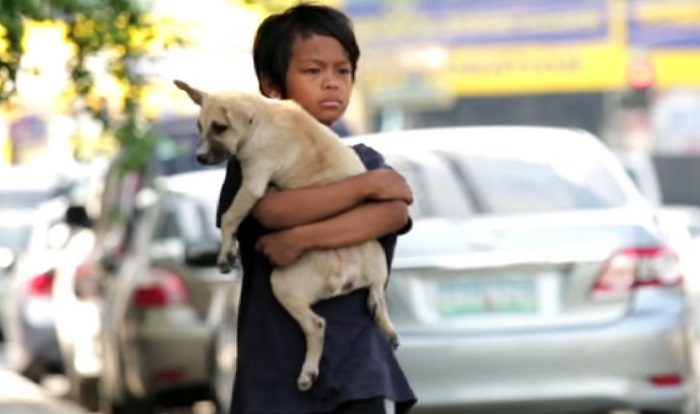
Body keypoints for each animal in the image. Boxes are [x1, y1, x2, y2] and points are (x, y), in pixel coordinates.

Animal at [174, 80, 400, 392]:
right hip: (377, 264)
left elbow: (229, 217)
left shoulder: (253, 184)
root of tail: (349, 273)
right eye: (199, 126)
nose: (200, 157)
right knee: (377, 297)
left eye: (219, 127)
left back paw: (308, 374)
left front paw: (225, 253)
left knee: (317, 325)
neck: (262, 118)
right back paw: (387, 328)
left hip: (282, 283)